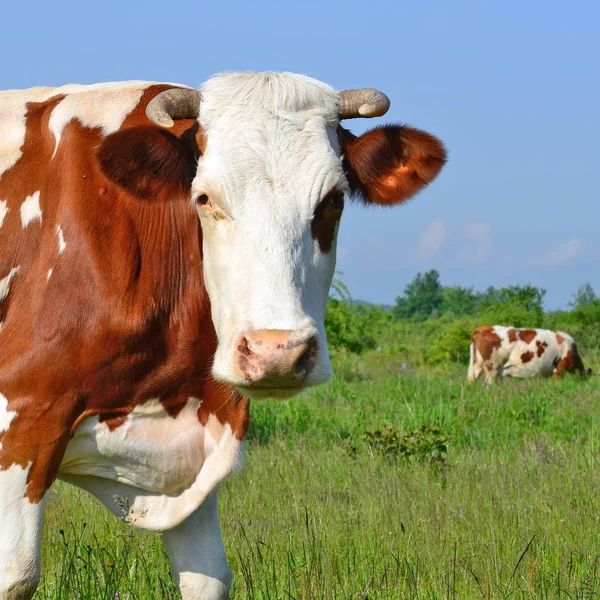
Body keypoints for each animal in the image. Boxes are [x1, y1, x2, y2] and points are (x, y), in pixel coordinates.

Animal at [0, 74, 446, 600]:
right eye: (205, 198)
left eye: (333, 201)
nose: (277, 352)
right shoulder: (24, 417)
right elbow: (17, 573)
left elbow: (207, 575)